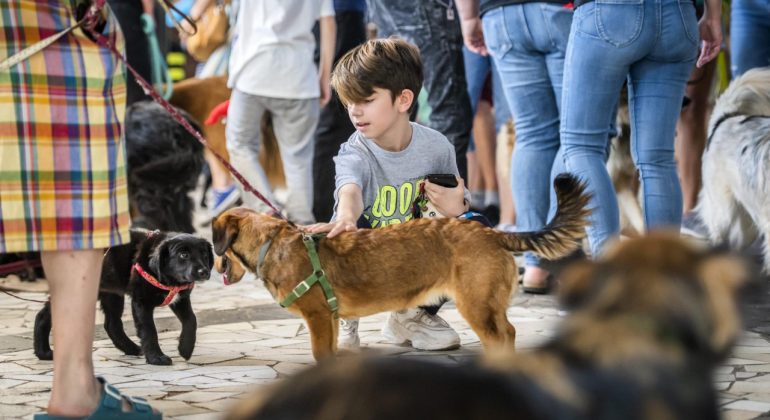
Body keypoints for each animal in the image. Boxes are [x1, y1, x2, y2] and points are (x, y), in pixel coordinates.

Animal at [33, 230, 213, 364]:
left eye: (205, 254)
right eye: (183, 255)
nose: (204, 272)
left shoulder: (180, 299)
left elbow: (191, 320)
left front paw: (185, 348)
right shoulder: (141, 301)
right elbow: (149, 330)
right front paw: (156, 358)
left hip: (111, 292)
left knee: (111, 324)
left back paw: (131, 348)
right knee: (43, 315)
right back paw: (44, 352)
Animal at [210, 174, 588, 360]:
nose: (212, 265)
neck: (273, 243)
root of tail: (490, 232)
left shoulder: (317, 316)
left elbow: (320, 352)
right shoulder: (328, 318)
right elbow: (330, 349)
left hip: (476, 305)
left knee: (500, 337)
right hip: (488, 304)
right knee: (508, 332)